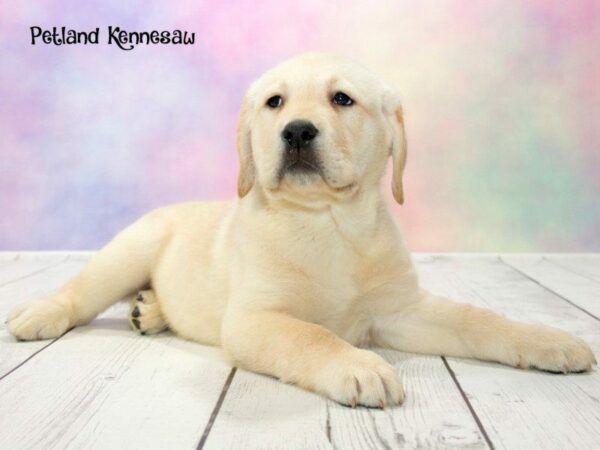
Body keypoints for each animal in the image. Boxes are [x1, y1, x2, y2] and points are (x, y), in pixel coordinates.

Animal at [8, 51, 596, 408]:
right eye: (275, 102)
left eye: (342, 99)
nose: (295, 132)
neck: (329, 224)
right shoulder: (256, 319)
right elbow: (311, 335)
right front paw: (360, 367)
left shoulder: (401, 310)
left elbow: (479, 319)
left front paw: (547, 341)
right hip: (130, 250)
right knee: (80, 291)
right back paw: (39, 314)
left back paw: (148, 310)